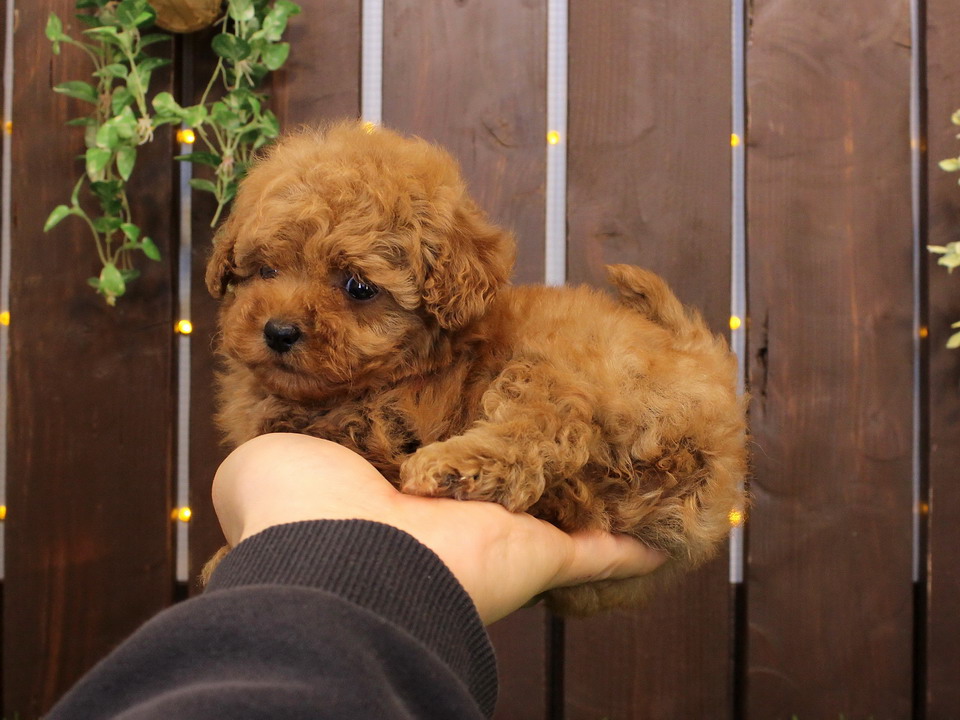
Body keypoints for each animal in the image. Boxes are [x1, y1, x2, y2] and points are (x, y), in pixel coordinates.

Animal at [204, 121, 748, 614]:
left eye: (358, 287)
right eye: (266, 270)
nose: (278, 331)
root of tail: (706, 370)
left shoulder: (377, 427)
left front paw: (224, 555)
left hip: (555, 375)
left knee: (545, 431)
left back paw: (450, 469)